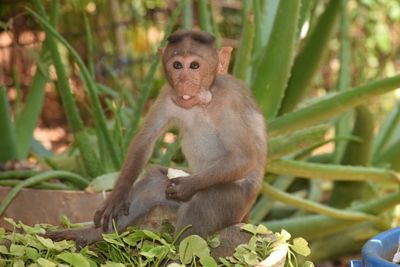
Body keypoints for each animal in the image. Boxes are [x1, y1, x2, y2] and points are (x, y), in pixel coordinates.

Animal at [44, 29, 266, 247]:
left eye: (194, 66)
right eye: (177, 65)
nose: (183, 82)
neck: (204, 100)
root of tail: (246, 215)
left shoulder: (230, 101)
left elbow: (244, 156)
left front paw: (187, 186)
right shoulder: (168, 92)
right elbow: (145, 140)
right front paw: (116, 197)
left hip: (236, 201)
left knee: (198, 209)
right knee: (153, 183)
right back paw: (90, 235)